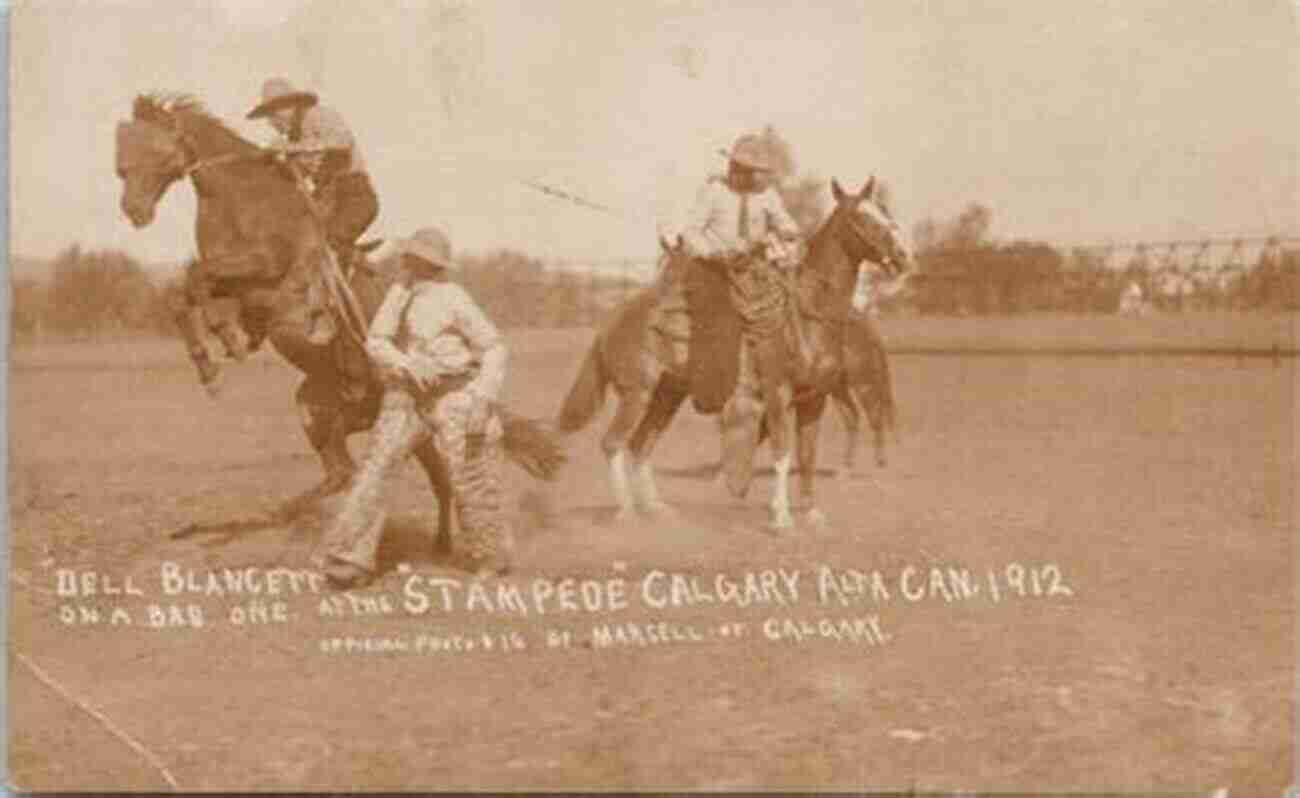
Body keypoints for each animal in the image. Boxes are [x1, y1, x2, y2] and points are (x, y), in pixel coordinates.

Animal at [111, 92, 559, 543]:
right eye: (120, 163)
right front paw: (209, 363)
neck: (243, 201)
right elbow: (184, 291)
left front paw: (226, 339)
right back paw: (295, 515)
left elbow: (198, 278)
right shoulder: (238, 288)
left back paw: (436, 543)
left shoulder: (266, 270)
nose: (133, 211)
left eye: (153, 149)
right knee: (345, 471)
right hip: (319, 410)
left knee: (430, 477)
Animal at [559, 179, 915, 532]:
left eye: (884, 211)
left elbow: (807, 454)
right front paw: (781, 517)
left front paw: (812, 512)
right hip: (637, 393)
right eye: (862, 217)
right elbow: (782, 450)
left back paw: (655, 507)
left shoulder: (815, 399)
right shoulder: (777, 393)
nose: (903, 255)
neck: (808, 315)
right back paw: (626, 511)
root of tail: (613, 319)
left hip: (666, 395)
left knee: (640, 443)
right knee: (613, 443)